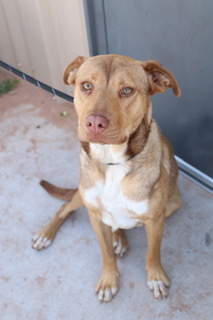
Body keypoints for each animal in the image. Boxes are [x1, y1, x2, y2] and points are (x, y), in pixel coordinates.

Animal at [32, 55, 182, 302]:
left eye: (127, 90)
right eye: (86, 85)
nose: (94, 123)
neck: (112, 163)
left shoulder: (155, 220)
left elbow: (153, 253)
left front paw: (156, 277)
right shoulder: (94, 214)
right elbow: (106, 254)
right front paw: (108, 280)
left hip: (174, 203)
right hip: (82, 197)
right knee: (65, 207)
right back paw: (46, 234)